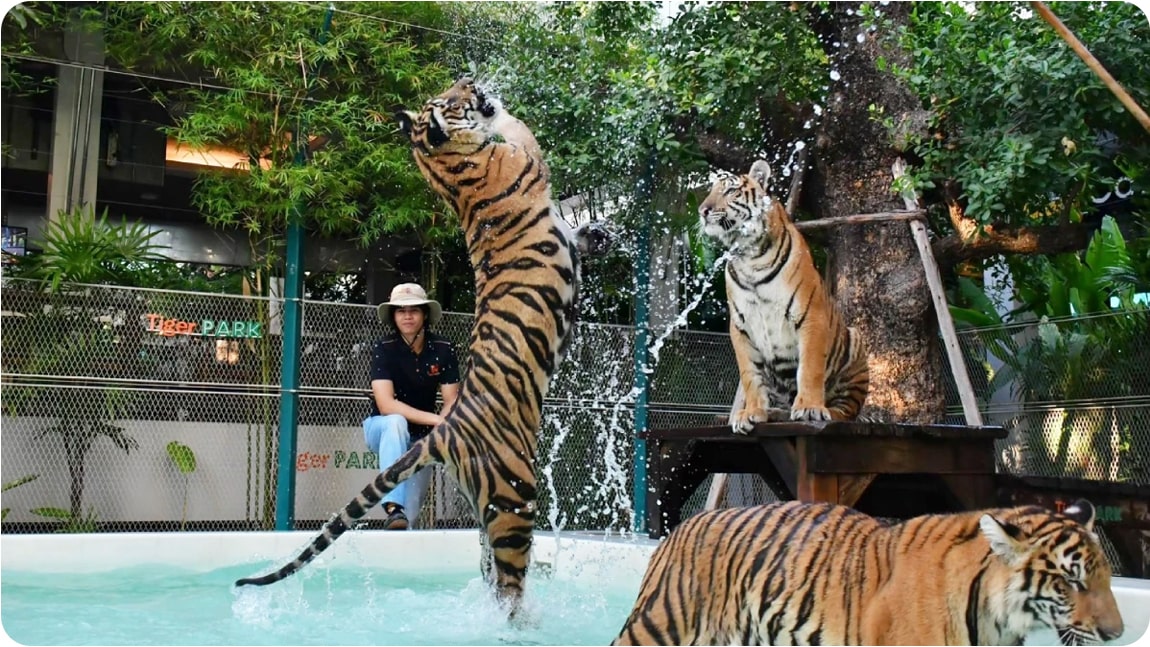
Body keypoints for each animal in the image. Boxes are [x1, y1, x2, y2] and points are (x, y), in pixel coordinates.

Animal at [232, 78, 611, 620]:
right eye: (455, 96)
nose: (471, 80)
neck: (447, 167)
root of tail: (446, 430)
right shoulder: (524, 159)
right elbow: (519, 130)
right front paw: (503, 107)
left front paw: (597, 234)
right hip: (515, 498)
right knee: (509, 584)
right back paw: (523, 623)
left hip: (486, 506)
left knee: (490, 571)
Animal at [694, 158, 864, 427]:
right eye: (710, 191)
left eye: (730, 190)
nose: (703, 211)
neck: (750, 257)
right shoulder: (740, 325)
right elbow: (750, 375)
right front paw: (752, 412)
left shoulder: (810, 315)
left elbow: (810, 368)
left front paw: (809, 407)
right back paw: (775, 412)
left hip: (856, 341)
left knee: (846, 412)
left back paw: (824, 411)